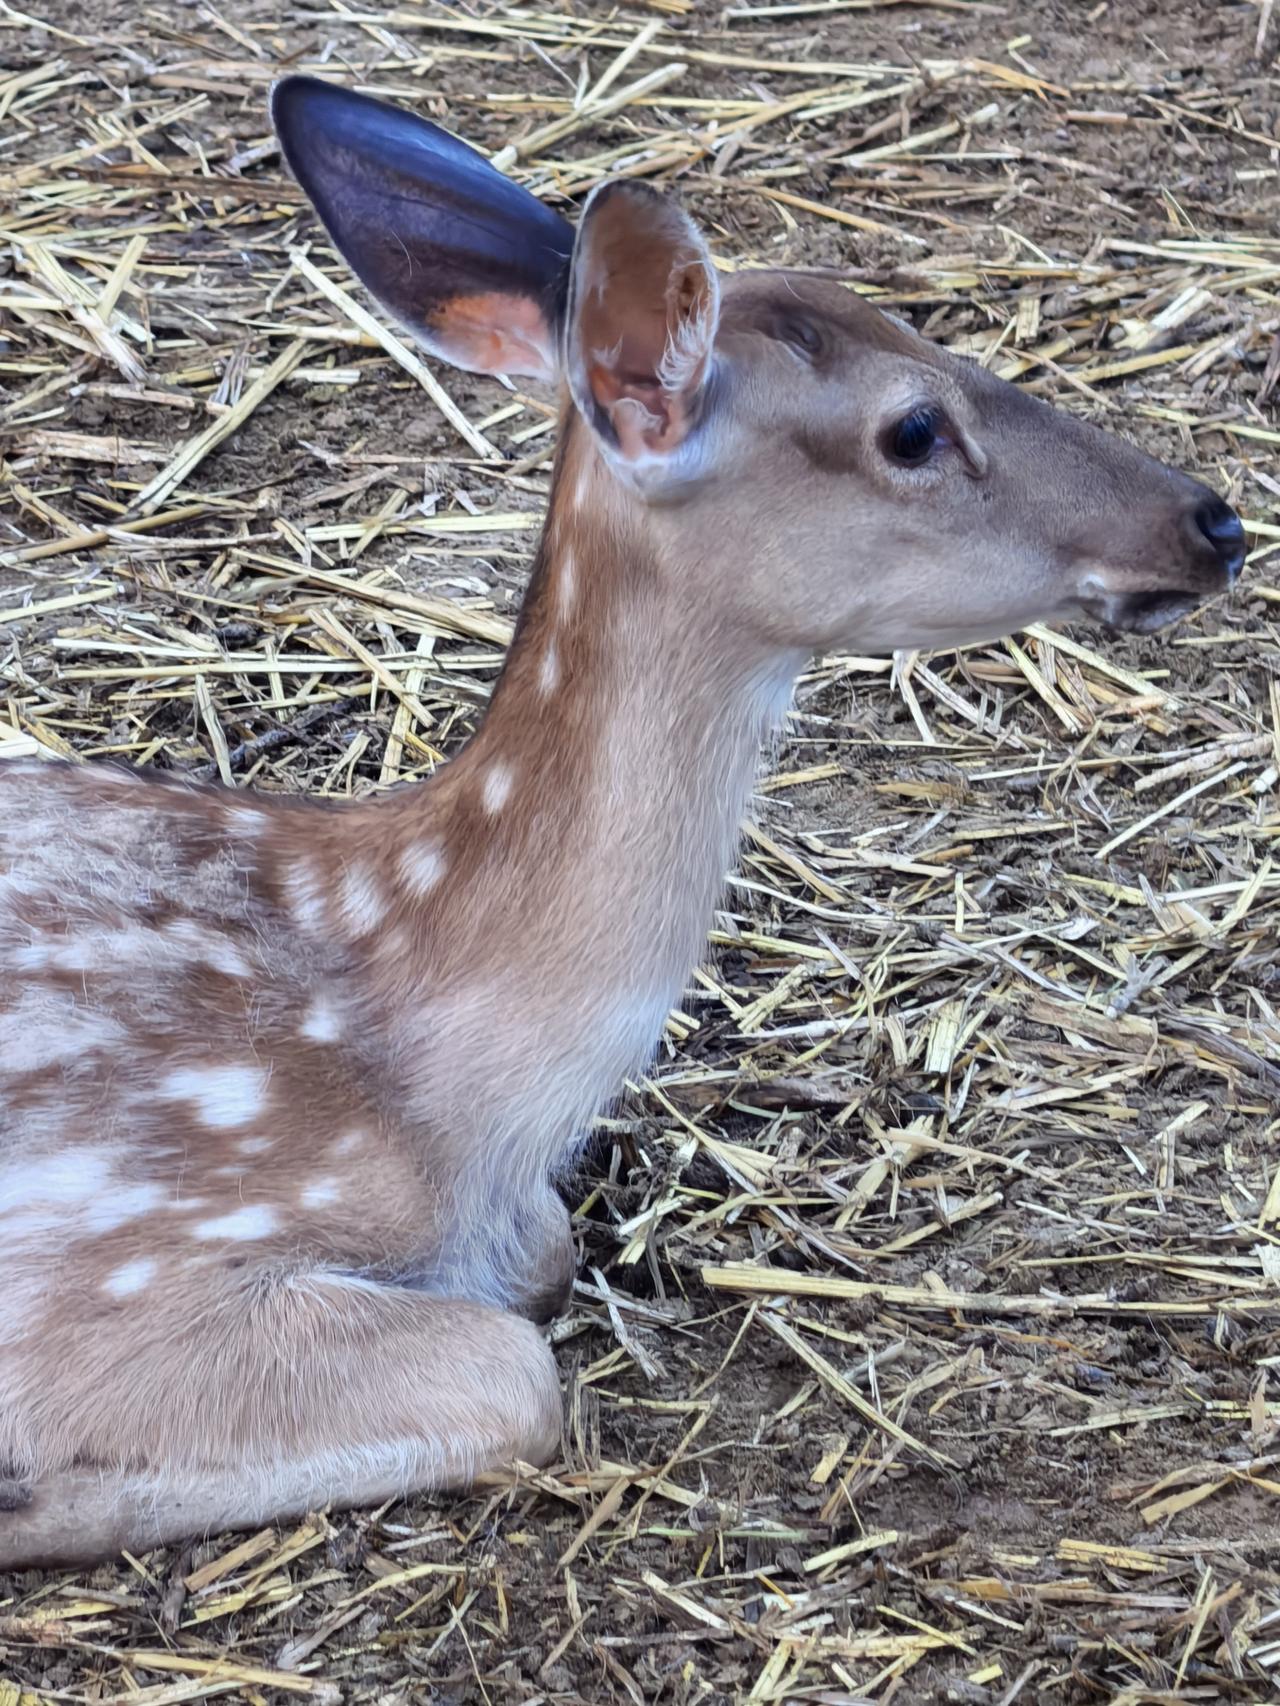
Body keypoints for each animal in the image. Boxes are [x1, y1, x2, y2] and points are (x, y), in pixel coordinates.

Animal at [0, 74, 1246, 1569]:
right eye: (913, 428)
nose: (1213, 520)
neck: (456, 1103)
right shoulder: (117, 1250)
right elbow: (512, 1373)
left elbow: (543, 1267)